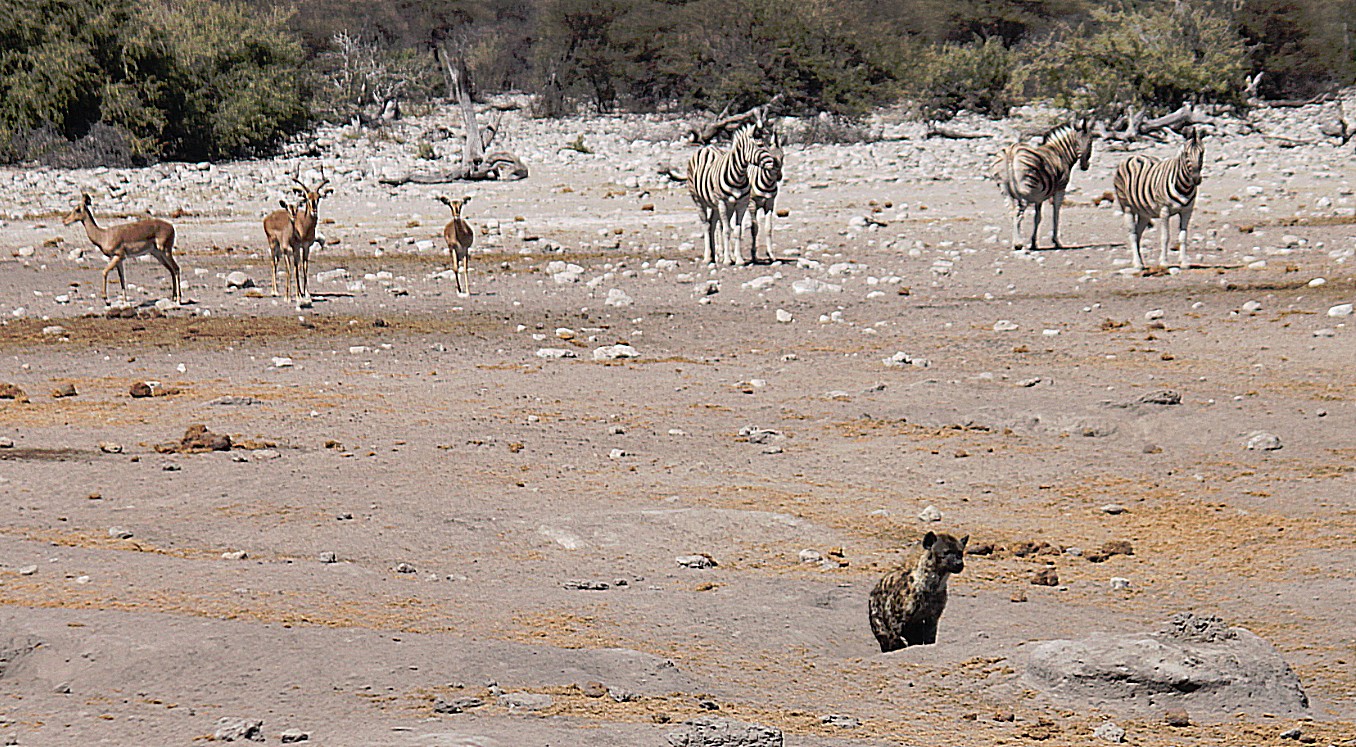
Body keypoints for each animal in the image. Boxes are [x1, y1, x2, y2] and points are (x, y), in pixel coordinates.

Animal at [688, 121, 775, 264]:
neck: (738, 175)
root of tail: (706, 147)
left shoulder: (741, 204)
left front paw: (738, 259)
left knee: (712, 224)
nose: (773, 164)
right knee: (706, 225)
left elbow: (737, 231)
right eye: (760, 145)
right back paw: (708, 257)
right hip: (699, 200)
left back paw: (715, 256)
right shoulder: (723, 203)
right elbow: (727, 230)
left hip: (717, 206)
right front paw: (728, 260)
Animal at [992, 118, 1095, 253]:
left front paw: (1034, 243)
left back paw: (1016, 242)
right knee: (1018, 214)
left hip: (1006, 191)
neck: (1060, 153)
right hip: (1025, 190)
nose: (1084, 166)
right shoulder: (1060, 189)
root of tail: (1011, 152)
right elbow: (1056, 214)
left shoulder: (1038, 196)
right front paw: (1056, 242)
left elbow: (1038, 218)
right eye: (1090, 141)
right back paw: (1018, 243)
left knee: (1012, 213)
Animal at [1111, 127, 1209, 269]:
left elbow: (1183, 237)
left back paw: (1141, 262)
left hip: (1144, 213)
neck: (1184, 185)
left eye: (1202, 152)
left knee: (1138, 234)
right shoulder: (1164, 211)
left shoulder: (1187, 211)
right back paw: (1137, 264)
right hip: (1127, 207)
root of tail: (1134, 156)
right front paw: (1164, 262)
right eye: (1186, 154)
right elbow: (1165, 237)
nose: (1196, 179)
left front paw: (1184, 262)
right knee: (1133, 234)